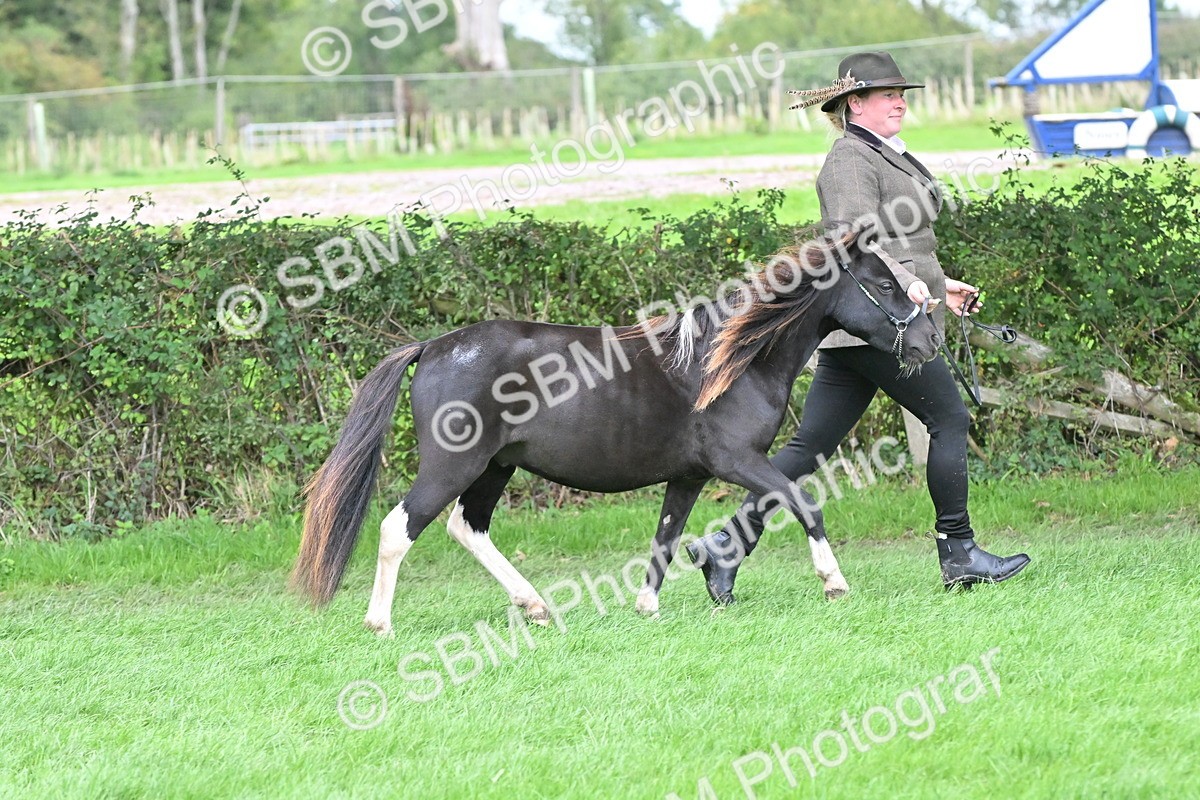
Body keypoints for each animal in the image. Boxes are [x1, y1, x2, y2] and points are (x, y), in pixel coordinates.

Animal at [291, 226, 941, 635]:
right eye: (885, 285)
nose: (930, 340)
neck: (729, 361)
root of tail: (431, 347)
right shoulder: (737, 461)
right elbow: (803, 502)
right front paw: (834, 584)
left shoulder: (690, 476)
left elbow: (666, 538)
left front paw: (648, 606)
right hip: (454, 465)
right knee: (399, 528)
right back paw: (380, 622)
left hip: (495, 467)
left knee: (466, 527)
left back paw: (536, 607)